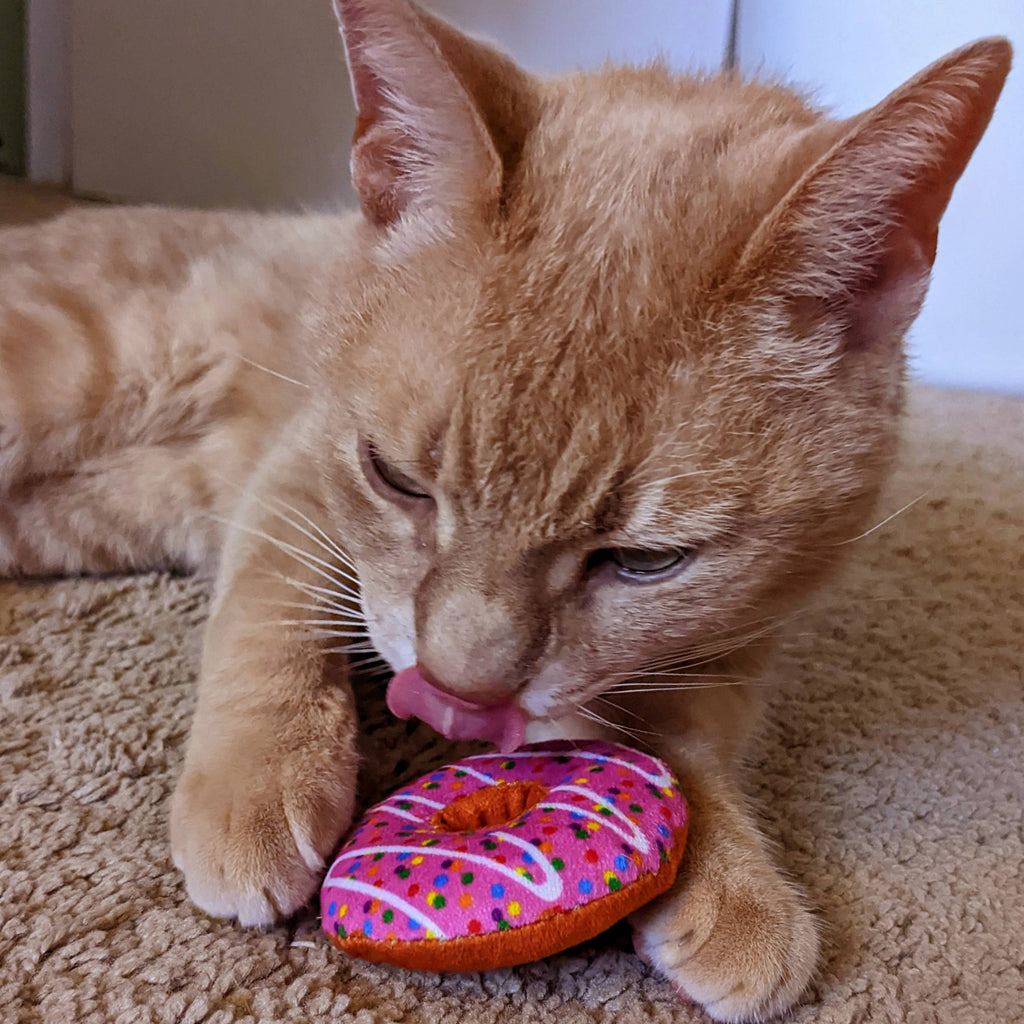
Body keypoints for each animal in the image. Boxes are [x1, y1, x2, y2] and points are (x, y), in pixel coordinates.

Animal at [0, 4, 1007, 1019]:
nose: (460, 691)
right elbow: (271, 609)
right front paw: (260, 775)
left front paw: (727, 873)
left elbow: (684, 728)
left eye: (647, 559)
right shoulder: (298, 468)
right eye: (397, 479)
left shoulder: (739, 631)